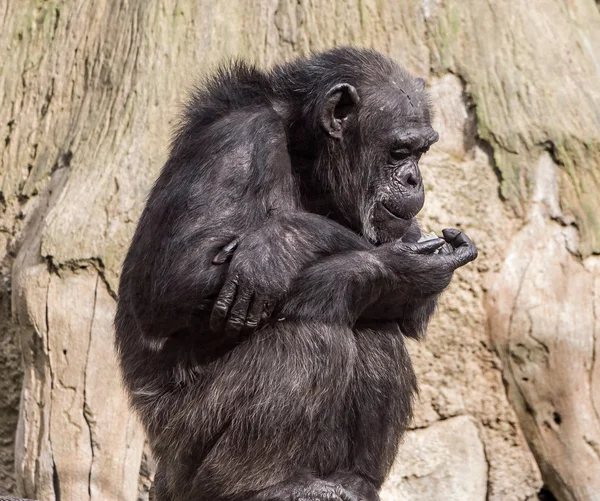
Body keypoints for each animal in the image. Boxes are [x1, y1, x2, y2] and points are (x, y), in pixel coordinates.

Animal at [113, 47, 478, 500]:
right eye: (399, 151)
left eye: (421, 152)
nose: (413, 178)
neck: (304, 150)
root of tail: (161, 471)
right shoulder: (237, 140)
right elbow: (175, 279)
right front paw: (282, 244)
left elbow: (407, 309)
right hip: (185, 449)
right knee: (307, 339)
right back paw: (262, 484)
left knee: (374, 326)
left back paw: (352, 481)